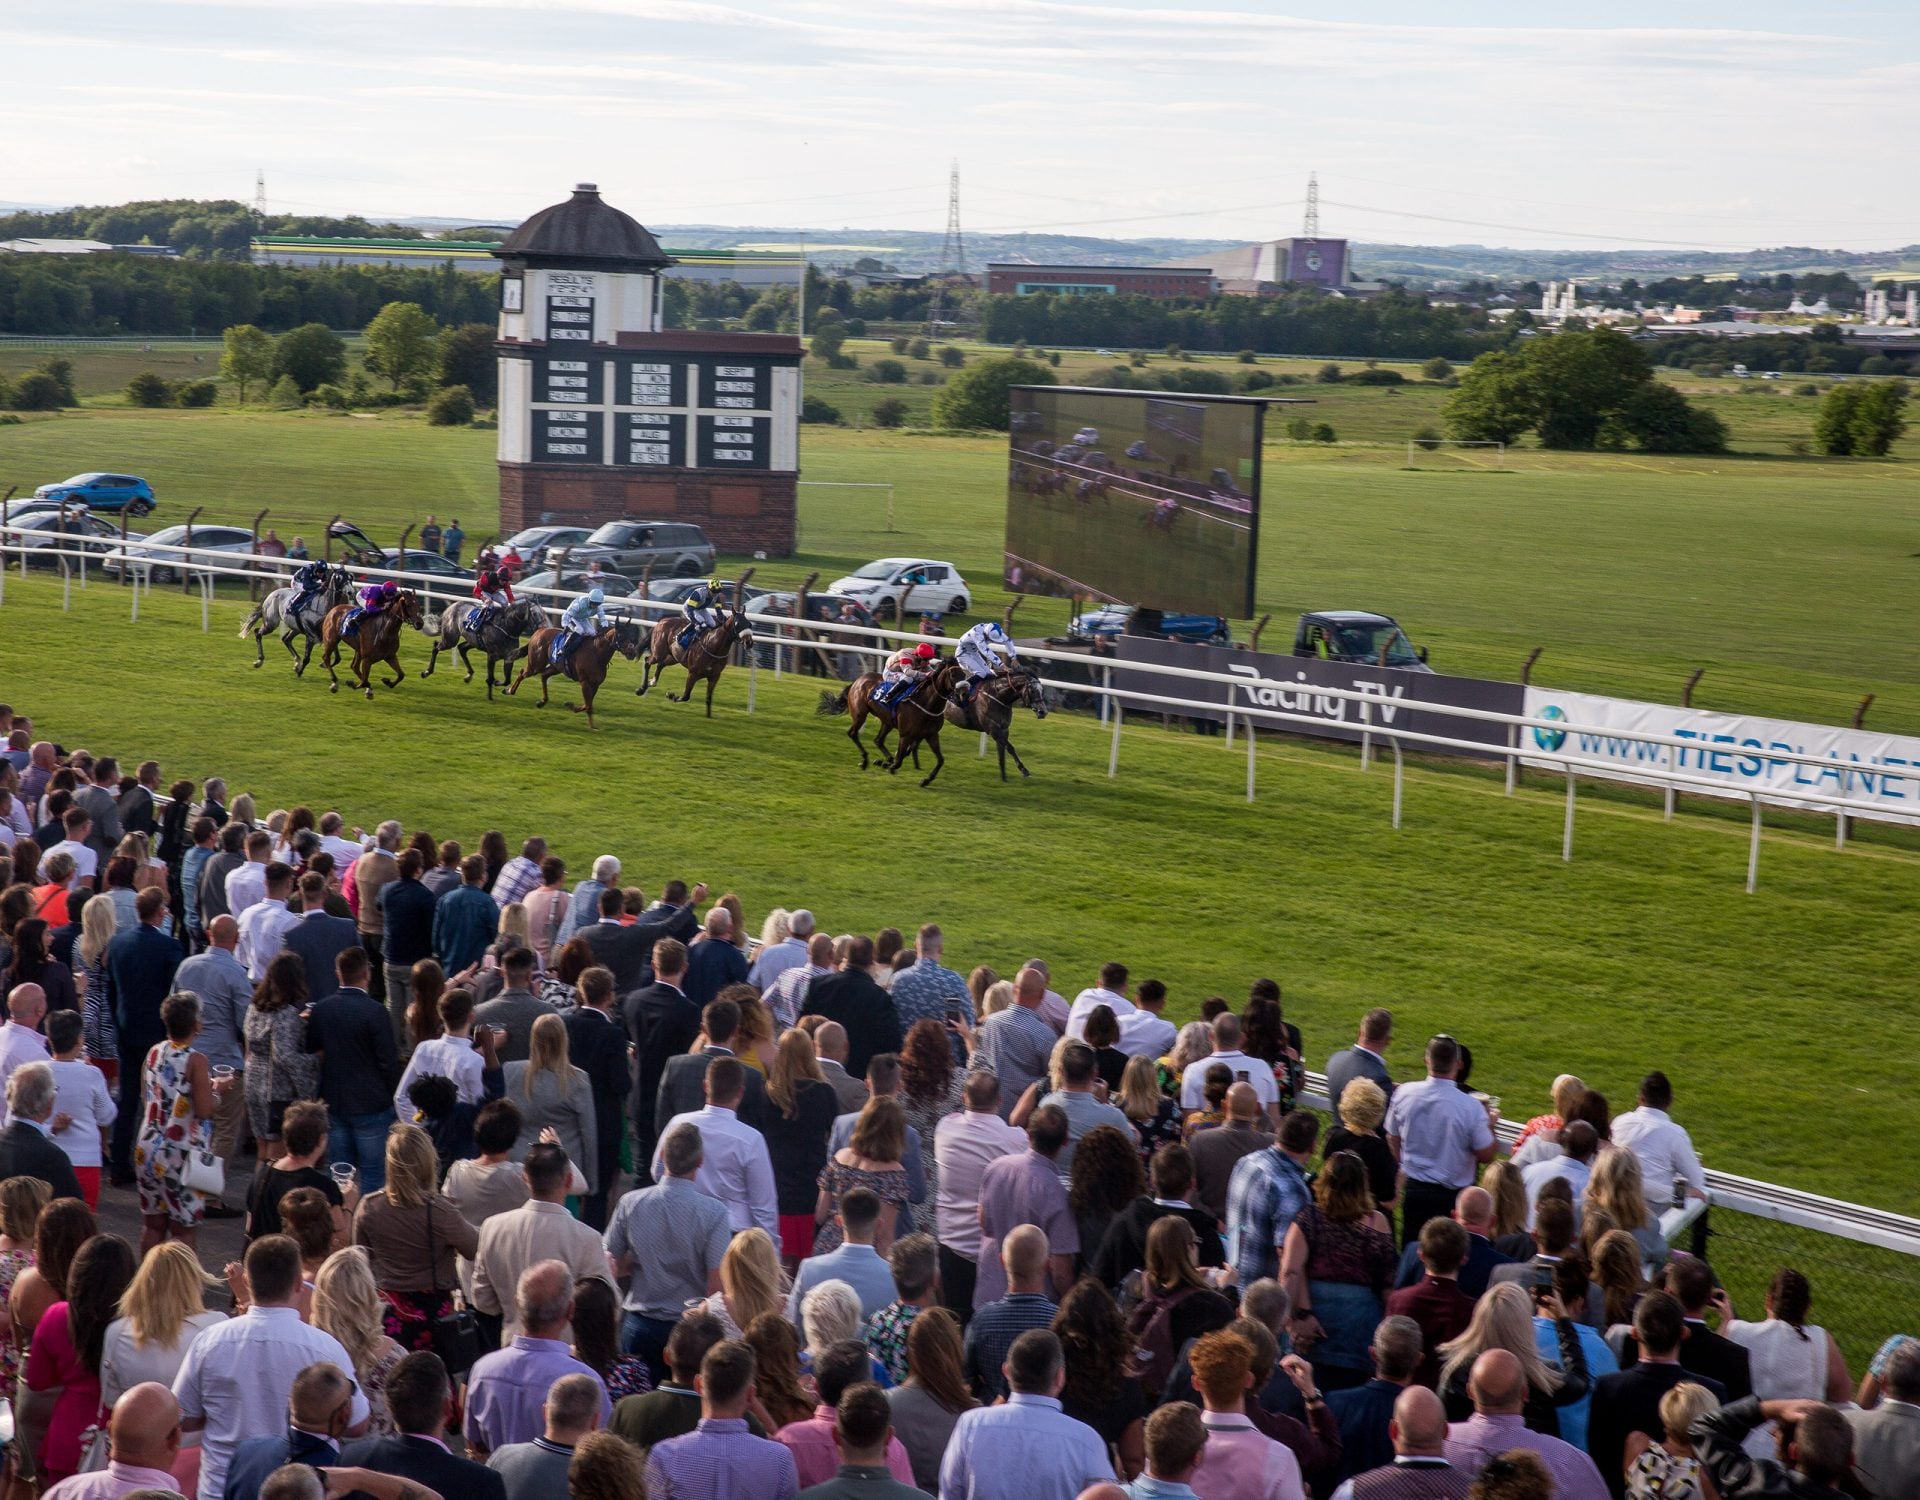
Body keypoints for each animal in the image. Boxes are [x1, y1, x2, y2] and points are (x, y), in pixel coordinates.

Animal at [510, 618, 645, 729]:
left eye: (631, 635)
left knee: (544, 675)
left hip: (556, 667)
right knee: (522, 673)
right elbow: (589, 705)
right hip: (535, 665)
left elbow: (587, 704)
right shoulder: (585, 682)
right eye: (621, 635)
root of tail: (538, 631)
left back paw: (542, 701)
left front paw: (571, 706)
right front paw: (592, 727)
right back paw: (510, 690)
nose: (632, 652)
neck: (596, 653)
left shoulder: (595, 684)